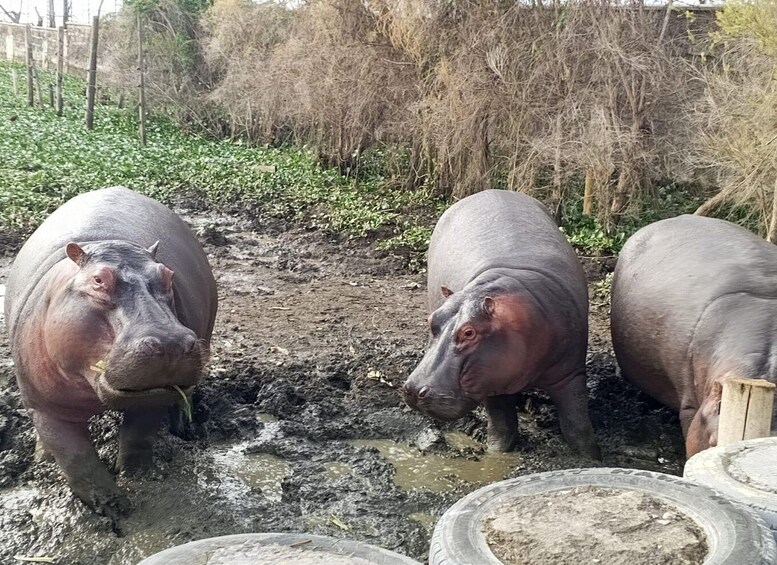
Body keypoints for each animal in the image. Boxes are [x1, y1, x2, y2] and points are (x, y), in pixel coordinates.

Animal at [4, 187, 217, 517]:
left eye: (168, 275)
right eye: (98, 280)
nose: (169, 342)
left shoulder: (152, 395)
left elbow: (138, 437)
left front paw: (137, 477)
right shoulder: (45, 405)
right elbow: (76, 457)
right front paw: (112, 508)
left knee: (184, 398)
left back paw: (184, 428)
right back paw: (41, 456)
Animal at [403, 189, 600, 458]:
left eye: (469, 332)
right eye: (432, 320)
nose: (413, 390)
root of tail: (488, 191)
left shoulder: (570, 372)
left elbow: (577, 426)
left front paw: (591, 456)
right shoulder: (490, 379)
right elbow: (502, 427)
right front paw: (496, 454)